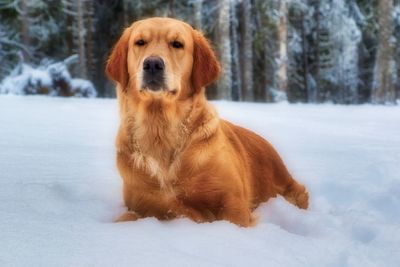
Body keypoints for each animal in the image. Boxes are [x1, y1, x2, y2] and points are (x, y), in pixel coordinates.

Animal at [104, 16, 308, 227]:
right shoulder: (143, 202)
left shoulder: (233, 202)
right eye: (140, 42)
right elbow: (130, 216)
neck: (160, 127)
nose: (152, 64)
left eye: (177, 44)